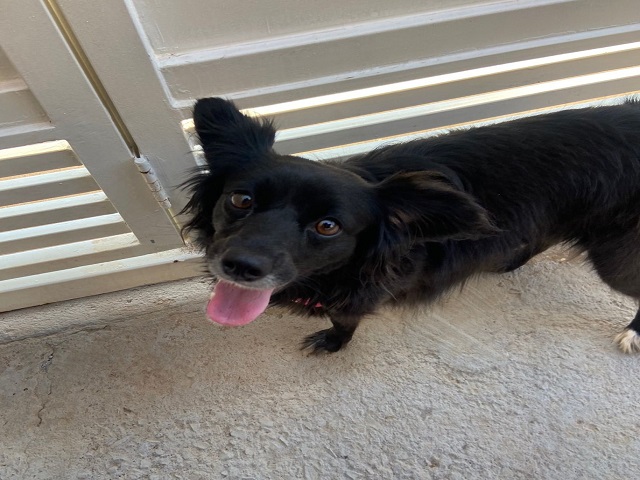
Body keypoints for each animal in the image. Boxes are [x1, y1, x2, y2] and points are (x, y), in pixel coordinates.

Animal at [182, 96, 640, 354]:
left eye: (328, 226)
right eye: (241, 200)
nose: (241, 267)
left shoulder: (359, 297)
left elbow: (344, 321)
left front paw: (334, 343)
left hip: (614, 257)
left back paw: (632, 333)